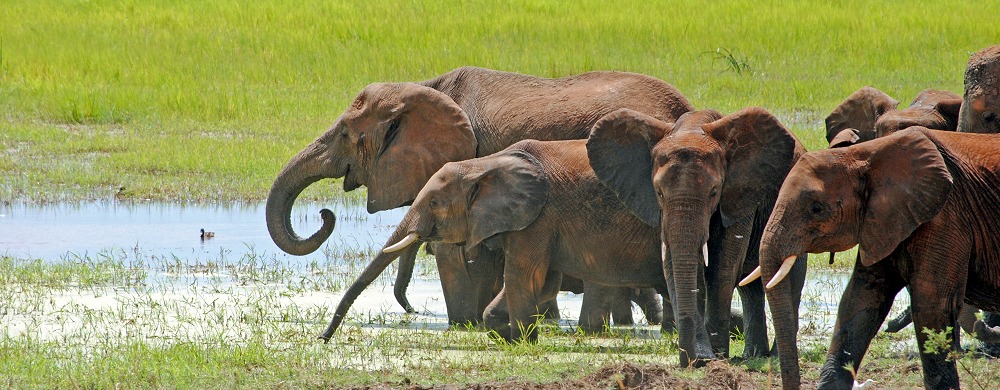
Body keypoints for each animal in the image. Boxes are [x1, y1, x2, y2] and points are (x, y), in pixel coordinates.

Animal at [266, 65, 692, 328]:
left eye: (345, 135)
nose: (325, 215)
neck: (422, 87)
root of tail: (684, 108)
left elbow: (454, 250)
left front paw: (463, 324)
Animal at [584, 107, 812, 362]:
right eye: (659, 192)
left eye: (714, 192)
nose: (693, 358)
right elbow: (672, 262)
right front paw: (704, 357)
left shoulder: (739, 195)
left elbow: (722, 266)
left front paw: (717, 355)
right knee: (749, 288)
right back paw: (752, 356)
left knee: (787, 278)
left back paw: (771, 356)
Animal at [748, 129, 1000, 390]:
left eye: (816, 208)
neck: (863, 154)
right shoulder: (884, 219)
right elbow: (859, 300)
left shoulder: (946, 216)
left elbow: (932, 306)